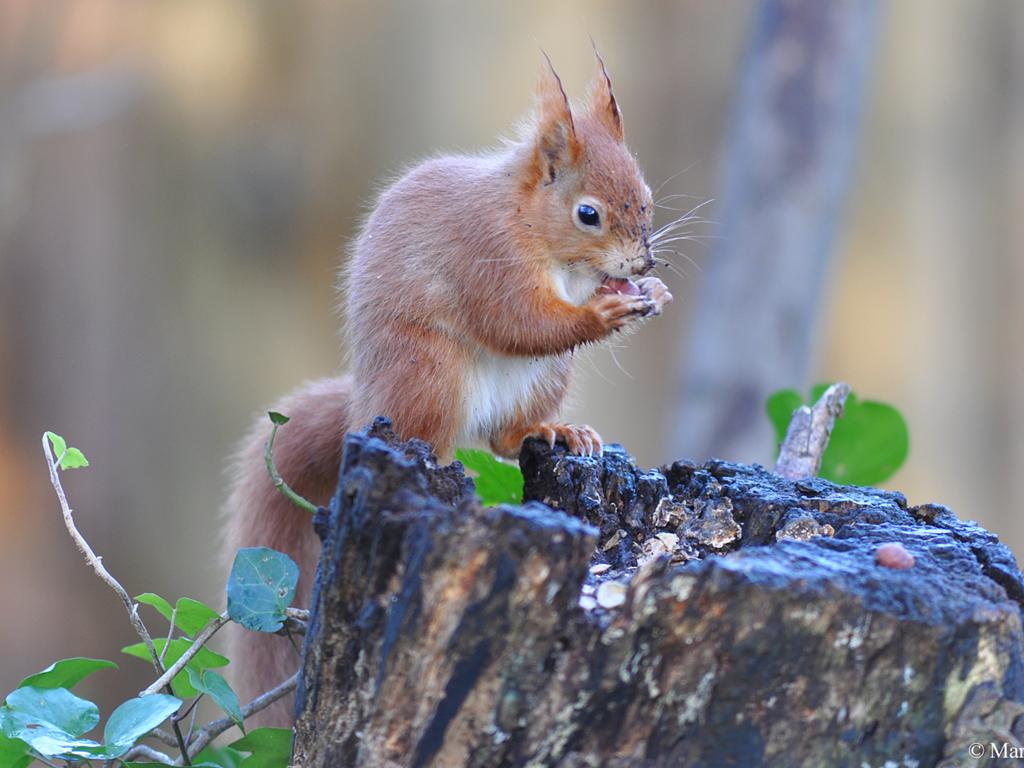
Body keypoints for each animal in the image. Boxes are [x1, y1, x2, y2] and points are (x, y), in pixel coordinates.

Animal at [224, 54, 671, 729]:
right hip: (430, 373)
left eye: (645, 198)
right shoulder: (485, 256)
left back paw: (558, 431)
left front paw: (652, 296)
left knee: (506, 437)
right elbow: (521, 321)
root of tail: (366, 402)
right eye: (588, 213)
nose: (642, 265)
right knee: (429, 432)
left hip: (544, 380)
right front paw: (602, 312)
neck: (538, 234)